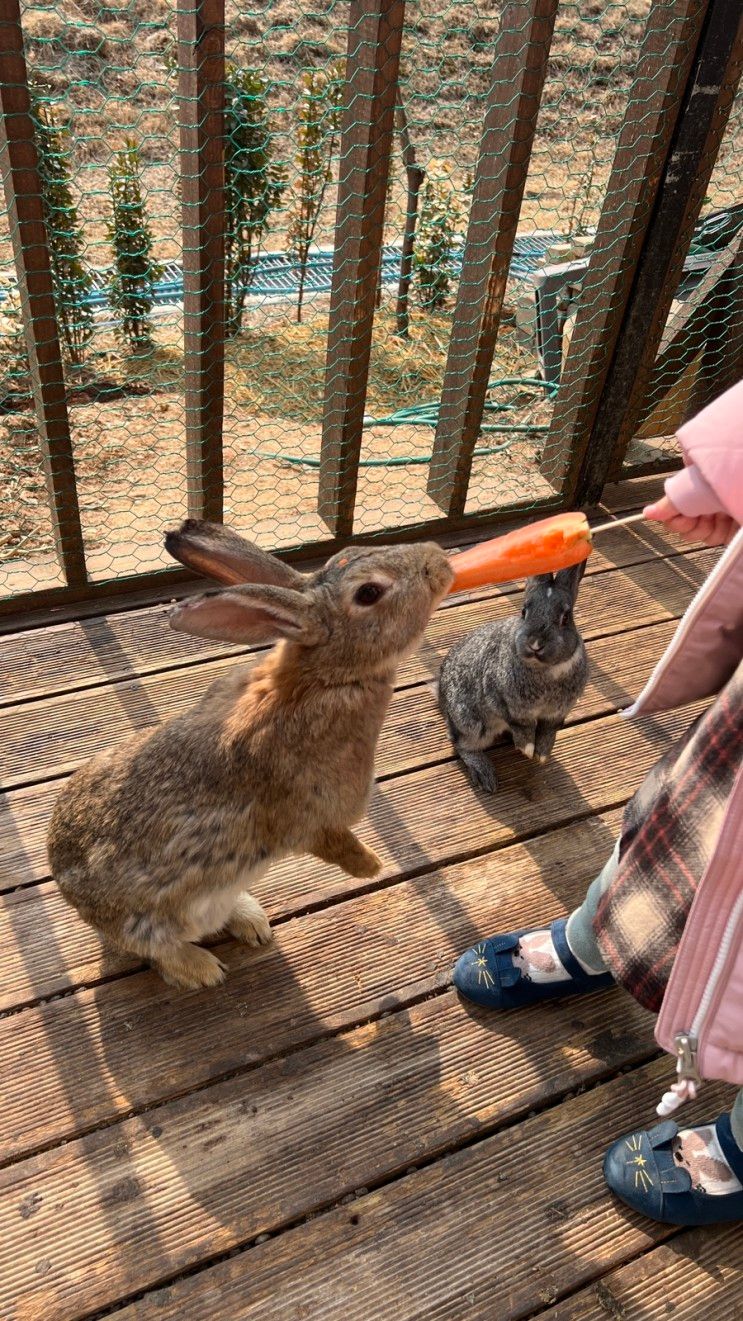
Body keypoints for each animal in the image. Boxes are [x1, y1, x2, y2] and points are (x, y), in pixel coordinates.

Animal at [49, 520, 452, 988]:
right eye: (369, 592)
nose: (441, 560)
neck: (328, 678)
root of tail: (68, 891)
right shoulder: (309, 817)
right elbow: (336, 844)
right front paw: (373, 866)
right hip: (151, 919)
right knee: (156, 950)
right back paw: (203, 969)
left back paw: (252, 921)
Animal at [433, 562, 584, 787]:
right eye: (523, 612)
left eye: (566, 618)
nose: (535, 644)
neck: (546, 668)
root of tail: (441, 696)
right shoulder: (501, 701)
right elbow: (521, 726)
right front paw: (527, 749)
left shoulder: (556, 714)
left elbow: (548, 732)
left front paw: (542, 755)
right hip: (472, 724)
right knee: (461, 744)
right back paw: (485, 774)